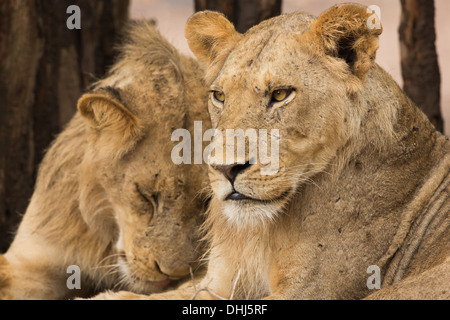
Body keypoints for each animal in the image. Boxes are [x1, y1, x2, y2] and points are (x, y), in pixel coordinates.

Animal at [89, 3, 450, 300]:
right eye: (219, 96)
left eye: (280, 94)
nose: (225, 169)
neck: (261, 231)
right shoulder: (219, 281)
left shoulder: (312, 292)